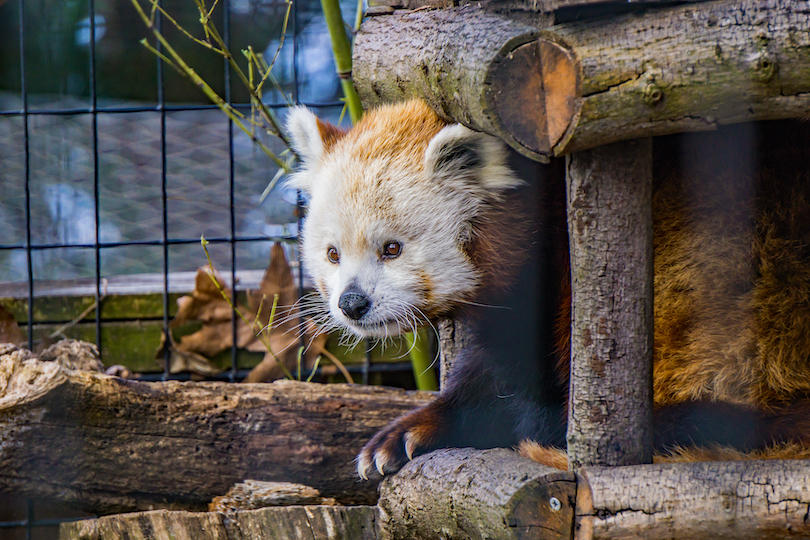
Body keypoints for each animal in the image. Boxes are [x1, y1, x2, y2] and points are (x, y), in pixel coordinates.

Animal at [286, 100, 810, 476]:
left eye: (391, 248)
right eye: (332, 254)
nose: (352, 303)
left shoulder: (548, 287)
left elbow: (511, 377)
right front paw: (403, 434)